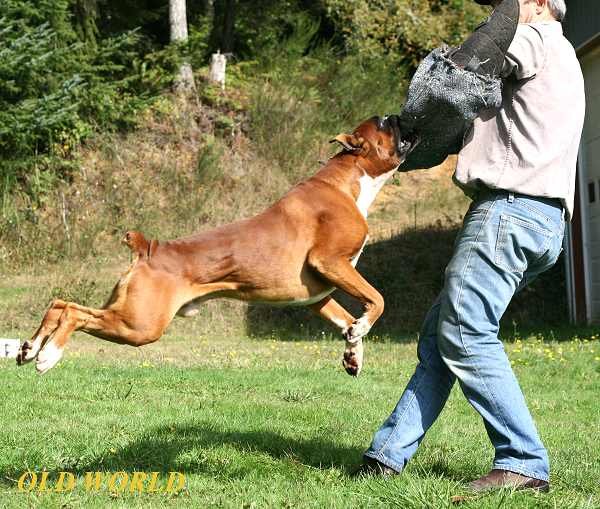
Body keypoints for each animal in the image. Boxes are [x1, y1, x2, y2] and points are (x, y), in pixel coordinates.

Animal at [17, 116, 418, 378]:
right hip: (138, 325)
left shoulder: (316, 294)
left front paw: (353, 350)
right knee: (75, 313)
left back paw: (30, 348)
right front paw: (361, 329)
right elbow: (377, 300)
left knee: (60, 304)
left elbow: (346, 319)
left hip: (128, 314)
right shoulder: (331, 263)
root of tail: (148, 247)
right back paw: (48, 356)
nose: (398, 114)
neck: (348, 180)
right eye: (383, 125)